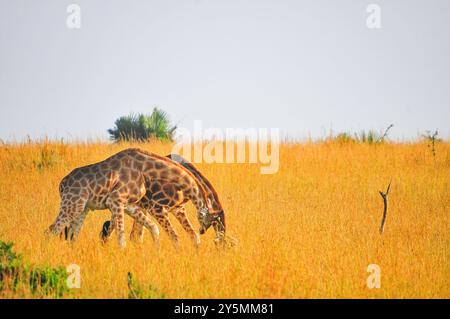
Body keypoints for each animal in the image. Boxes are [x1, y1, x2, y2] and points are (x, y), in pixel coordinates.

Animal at [47, 149, 216, 249]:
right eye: (210, 220)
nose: (202, 231)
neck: (144, 169)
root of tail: (62, 184)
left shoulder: (129, 205)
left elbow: (152, 228)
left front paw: (157, 253)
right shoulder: (116, 200)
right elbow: (121, 239)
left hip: (83, 208)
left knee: (72, 235)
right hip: (72, 204)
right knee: (51, 230)